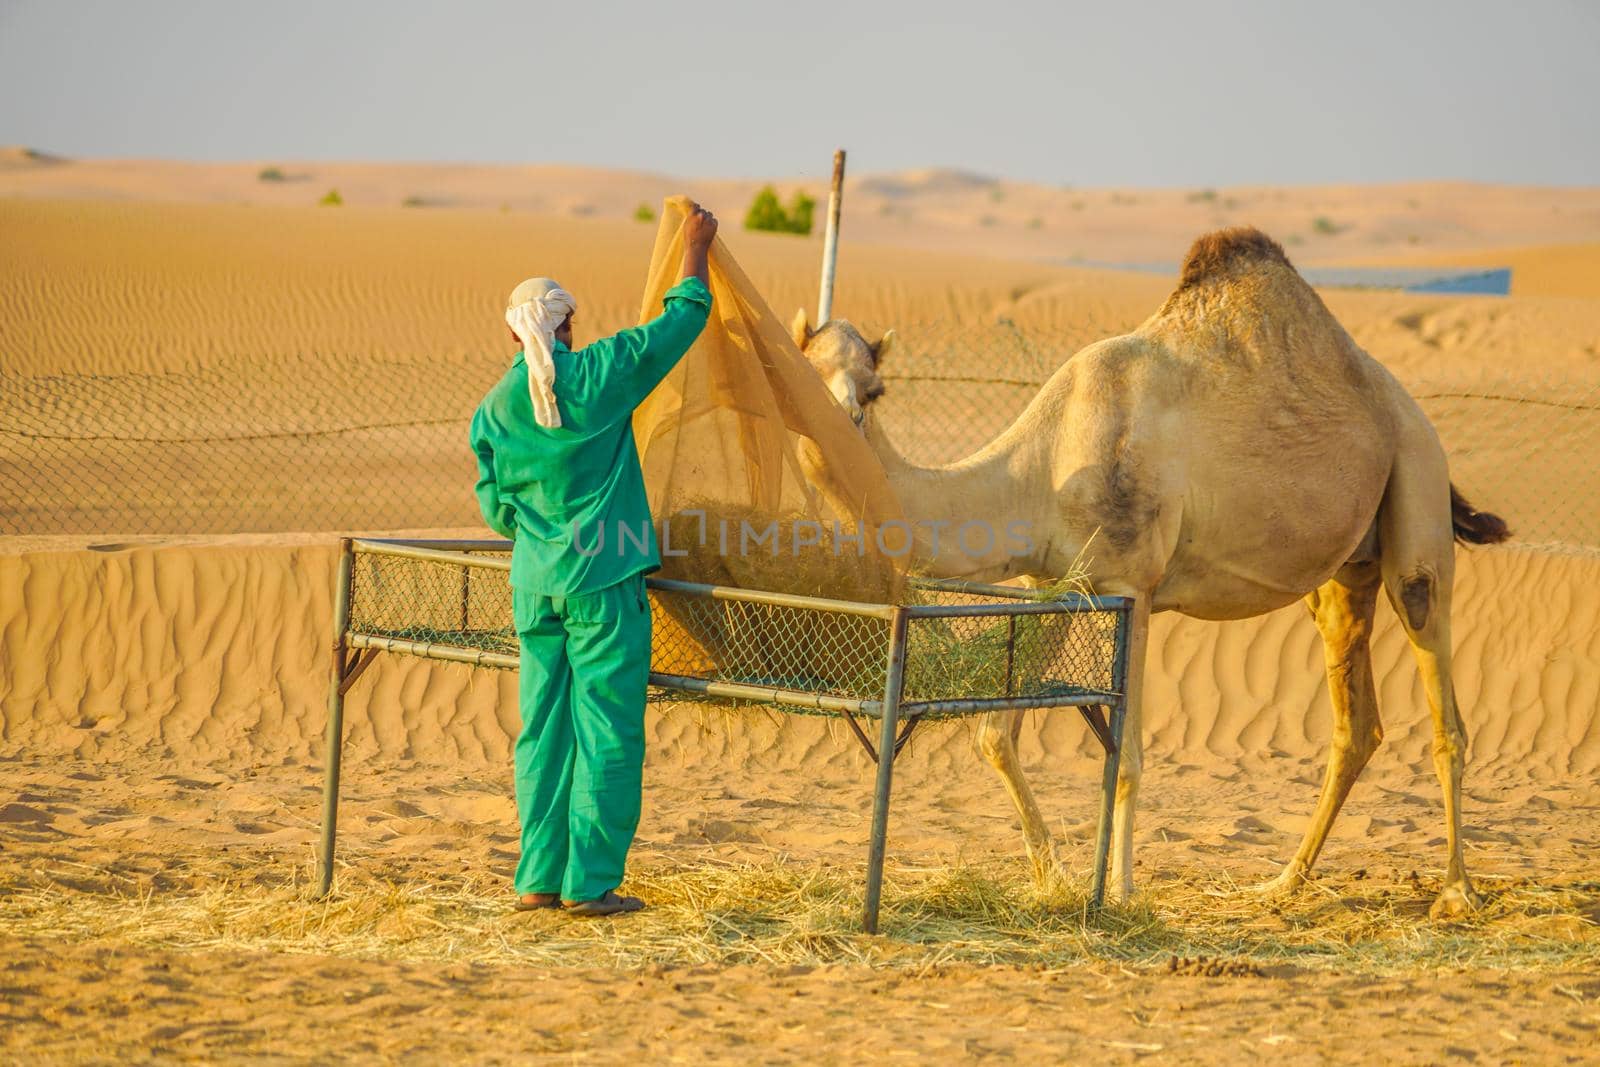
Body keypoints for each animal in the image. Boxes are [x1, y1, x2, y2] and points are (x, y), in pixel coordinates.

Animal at [793, 227, 1504, 921]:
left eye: (875, 389)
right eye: (803, 369)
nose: (840, 422)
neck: (1039, 466)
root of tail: (1406, 406)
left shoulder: (1132, 585)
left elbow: (1128, 758)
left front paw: (1123, 893)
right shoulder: (1053, 582)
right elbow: (994, 735)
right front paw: (1051, 877)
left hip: (1416, 476)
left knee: (1441, 692)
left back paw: (1455, 892)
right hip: (1344, 570)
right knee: (1356, 725)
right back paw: (1282, 883)